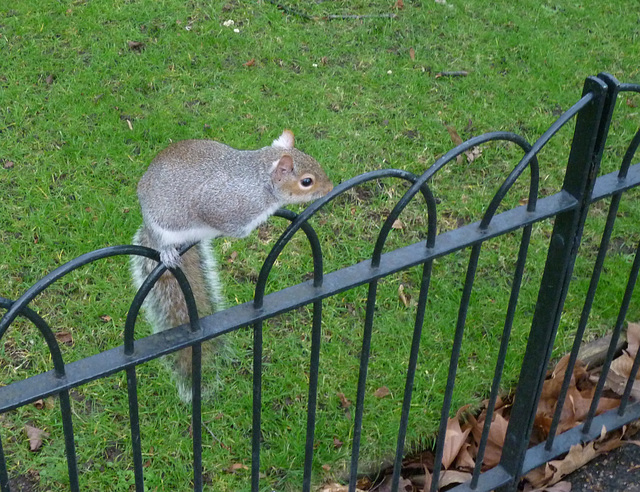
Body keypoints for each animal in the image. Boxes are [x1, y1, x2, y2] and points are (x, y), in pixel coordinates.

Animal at [128, 130, 332, 400]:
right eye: (306, 181)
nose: (330, 187)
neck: (258, 181)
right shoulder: (223, 207)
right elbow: (235, 227)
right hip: (162, 227)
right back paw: (167, 251)